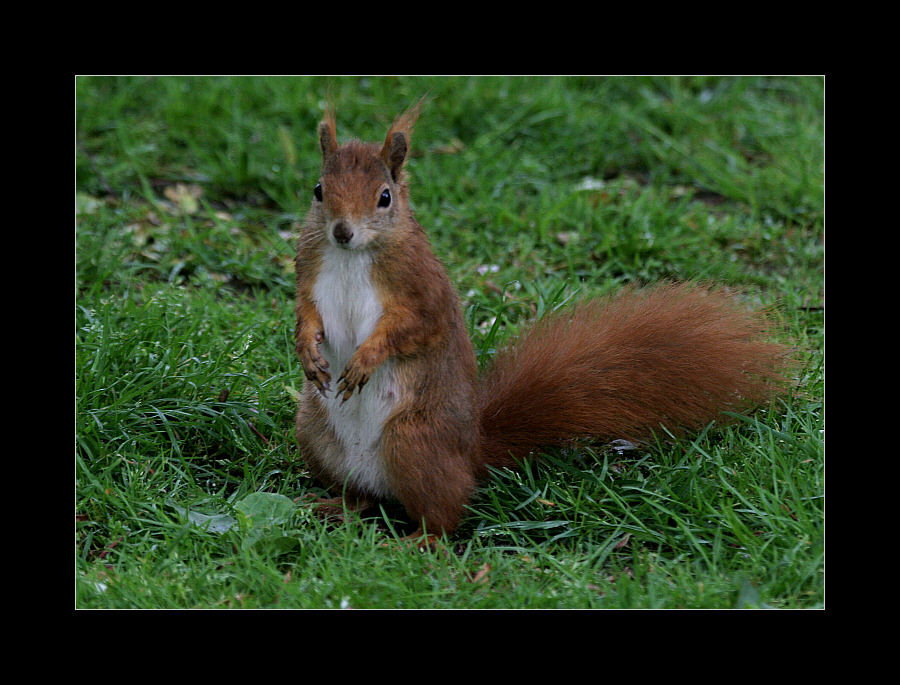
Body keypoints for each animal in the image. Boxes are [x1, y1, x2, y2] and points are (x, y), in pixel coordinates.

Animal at [296, 101, 788, 540]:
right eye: (318, 190)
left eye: (384, 197)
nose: (342, 231)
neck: (351, 256)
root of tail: (471, 452)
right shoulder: (309, 270)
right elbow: (306, 312)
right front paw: (307, 350)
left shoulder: (422, 290)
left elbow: (413, 329)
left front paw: (365, 358)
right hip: (316, 434)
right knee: (363, 498)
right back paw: (332, 505)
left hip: (413, 441)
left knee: (445, 513)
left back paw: (420, 541)